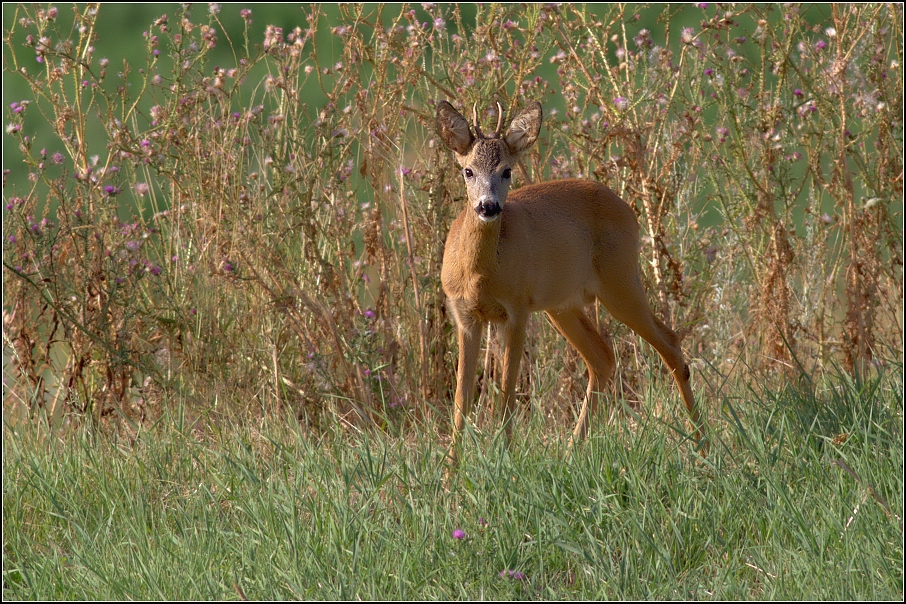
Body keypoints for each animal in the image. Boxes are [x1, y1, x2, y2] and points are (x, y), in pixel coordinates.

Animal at [434, 101, 704, 464]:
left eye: (507, 171)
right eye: (467, 171)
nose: (488, 206)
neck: (481, 276)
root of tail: (625, 206)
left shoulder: (517, 309)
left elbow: (506, 393)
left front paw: (505, 461)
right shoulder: (464, 314)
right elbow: (462, 400)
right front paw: (451, 472)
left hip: (620, 280)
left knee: (671, 344)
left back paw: (703, 444)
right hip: (563, 304)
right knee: (602, 358)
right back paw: (571, 451)